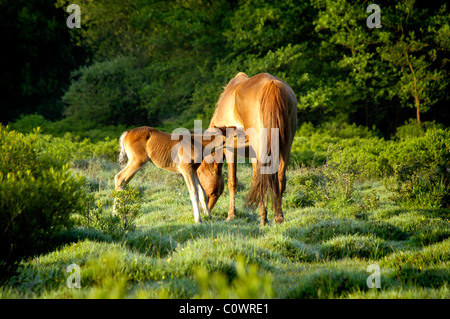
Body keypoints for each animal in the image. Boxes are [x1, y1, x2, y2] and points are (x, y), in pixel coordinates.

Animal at [198, 72, 298, 225]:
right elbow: (255, 179)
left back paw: (266, 219)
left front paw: (231, 215)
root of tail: (272, 85)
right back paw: (278, 217)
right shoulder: (252, 153)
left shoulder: (230, 149)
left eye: (198, 174)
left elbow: (232, 182)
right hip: (286, 144)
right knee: (280, 176)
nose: (203, 209)